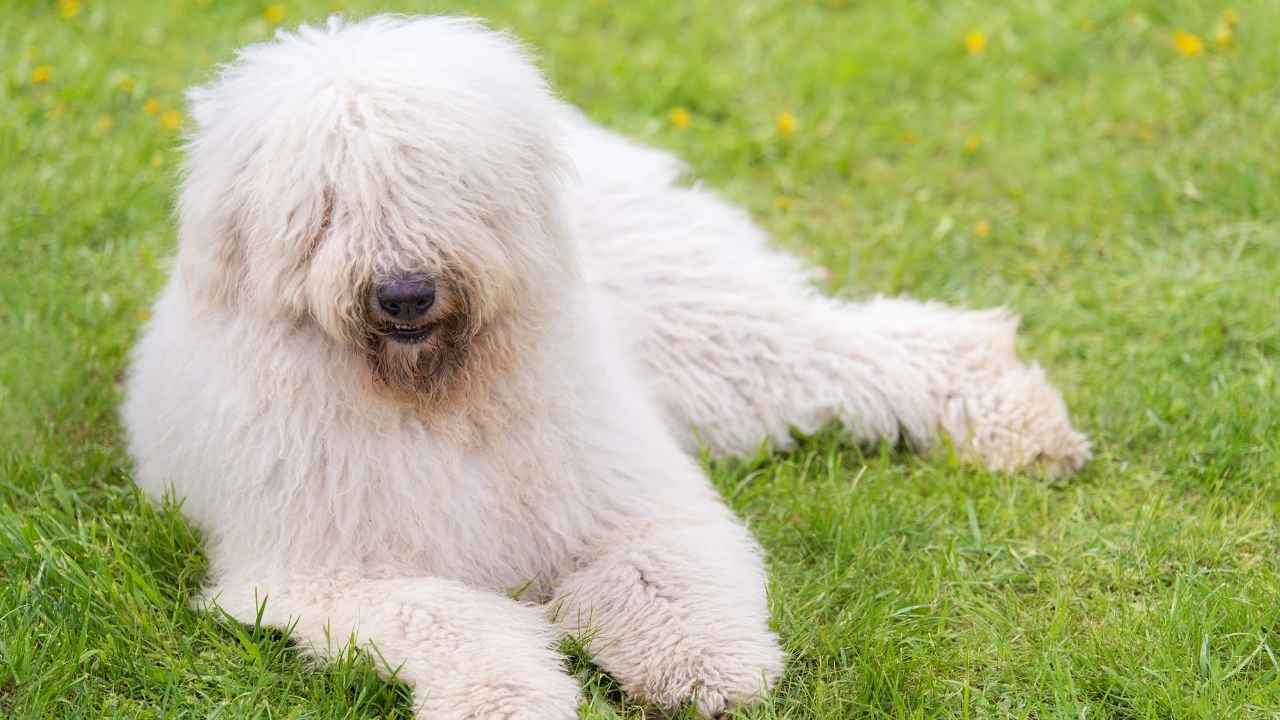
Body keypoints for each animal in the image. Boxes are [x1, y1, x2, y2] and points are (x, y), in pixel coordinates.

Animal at [122, 14, 1090, 712]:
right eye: (324, 205)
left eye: (436, 182)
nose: (404, 294)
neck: (438, 402)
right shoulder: (318, 574)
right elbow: (445, 614)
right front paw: (510, 697)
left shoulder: (630, 501)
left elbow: (662, 571)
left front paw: (708, 667)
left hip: (712, 345)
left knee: (877, 346)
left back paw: (1024, 424)